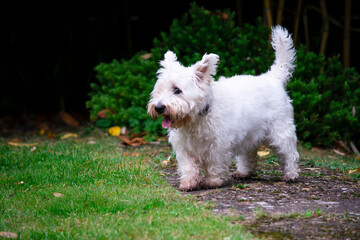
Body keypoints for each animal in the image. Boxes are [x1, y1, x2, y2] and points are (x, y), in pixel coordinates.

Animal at [148, 26, 300, 191]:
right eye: (159, 90)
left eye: (177, 90)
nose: (158, 107)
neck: (197, 119)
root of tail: (273, 77)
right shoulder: (184, 149)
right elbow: (188, 167)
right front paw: (188, 183)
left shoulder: (218, 146)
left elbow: (214, 165)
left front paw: (212, 182)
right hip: (250, 134)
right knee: (249, 154)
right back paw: (244, 172)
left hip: (281, 131)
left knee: (290, 153)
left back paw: (291, 174)